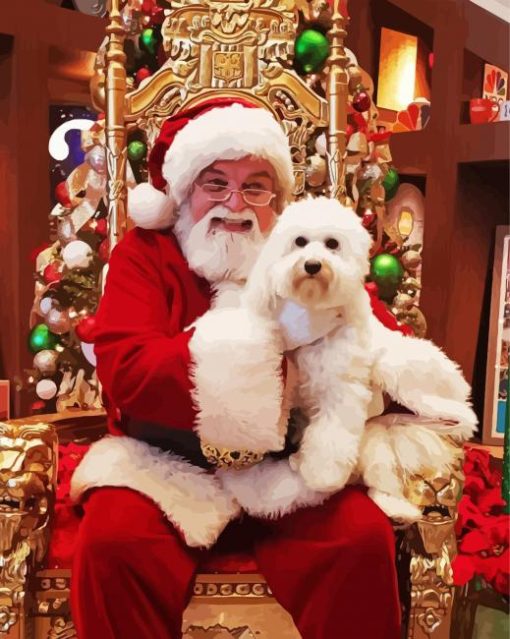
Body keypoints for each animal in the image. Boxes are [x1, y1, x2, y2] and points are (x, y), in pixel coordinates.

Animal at [219, 199, 478, 524]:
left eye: (332, 244)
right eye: (300, 241)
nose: (312, 265)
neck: (312, 310)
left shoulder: (339, 392)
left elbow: (331, 437)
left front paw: (321, 474)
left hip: (391, 412)